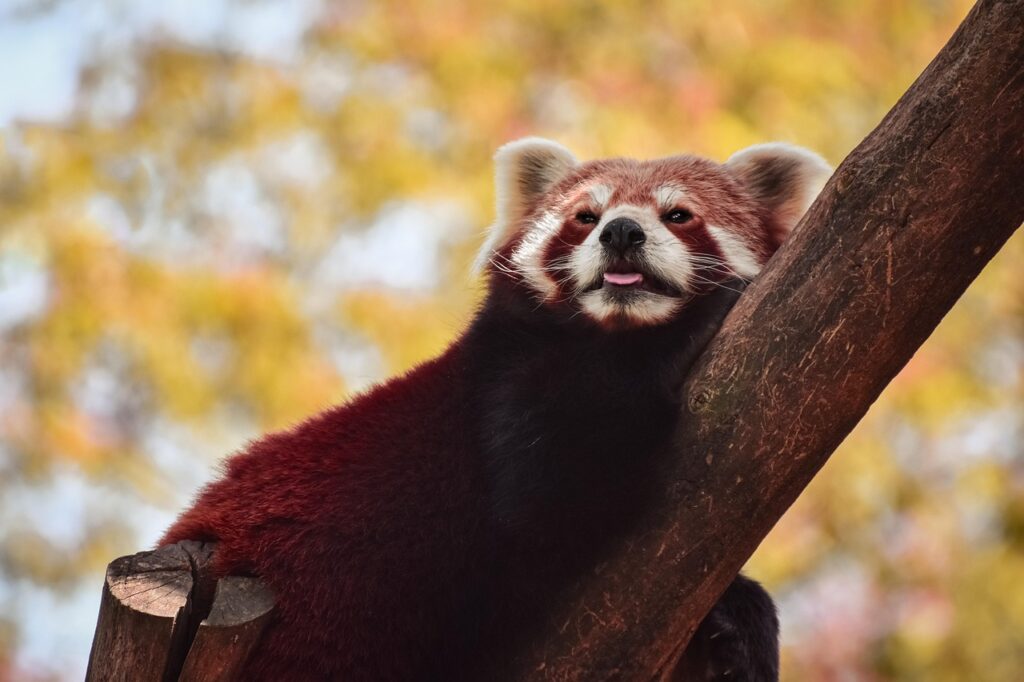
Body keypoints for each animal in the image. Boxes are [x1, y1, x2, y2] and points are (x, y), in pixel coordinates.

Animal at [162, 137, 831, 681]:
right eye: (586, 217)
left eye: (678, 214)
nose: (621, 233)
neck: (607, 331)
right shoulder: (501, 392)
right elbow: (549, 492)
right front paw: (696, 320)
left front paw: (739, 627)